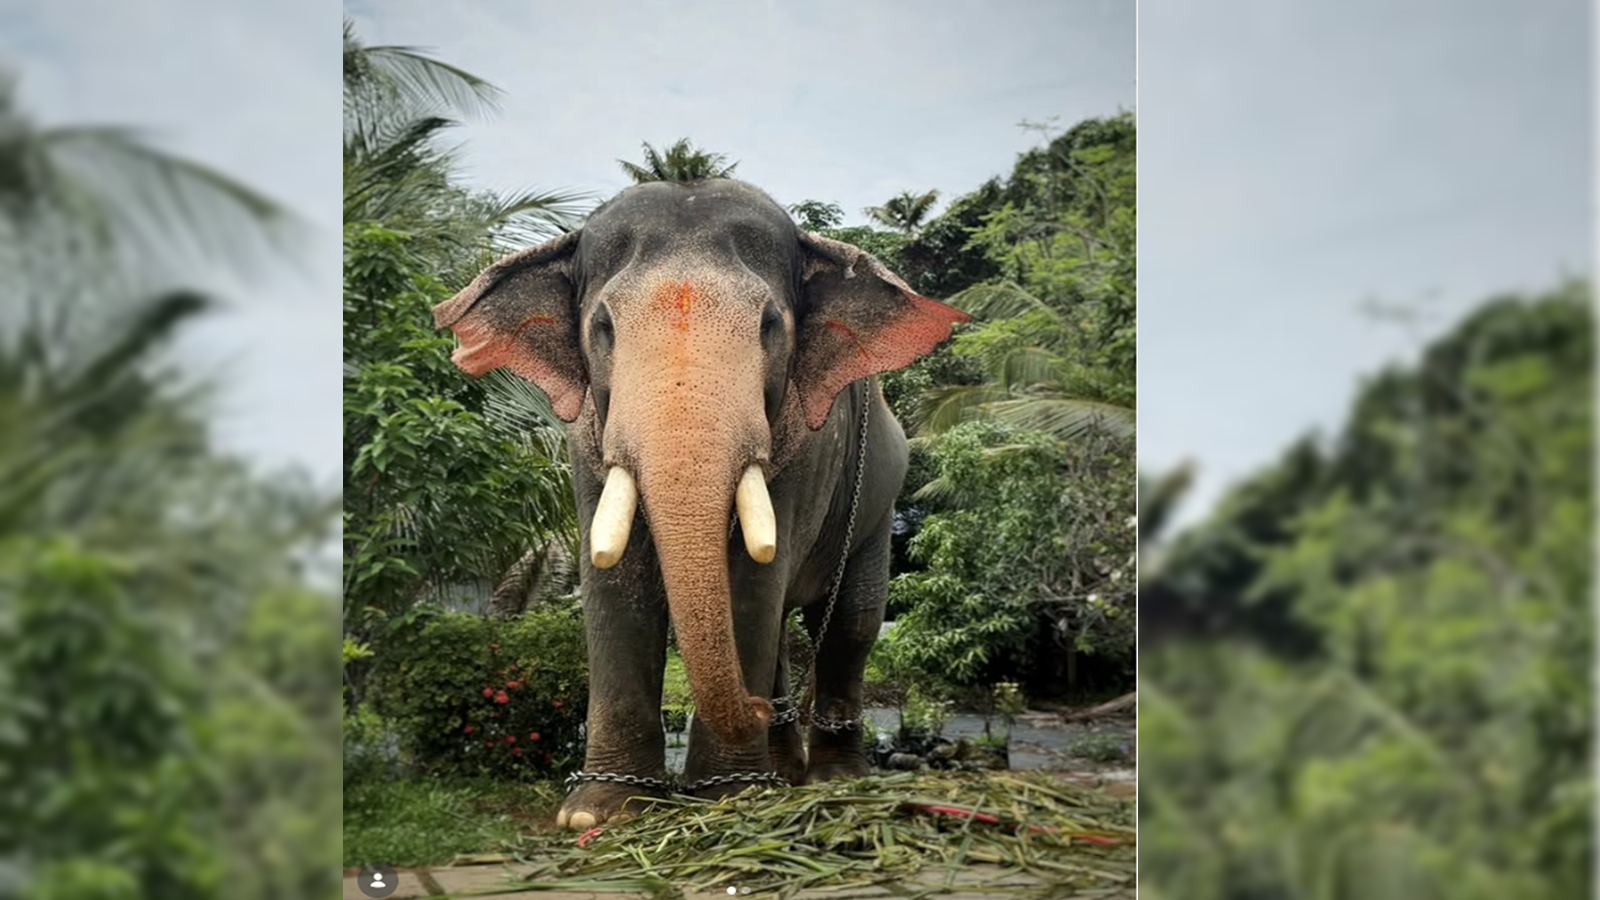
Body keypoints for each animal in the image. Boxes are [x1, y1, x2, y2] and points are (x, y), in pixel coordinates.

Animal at [433, 179, 967, 830]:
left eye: (770, 325)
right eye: (603, 327)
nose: (754, 707)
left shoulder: (801, 450)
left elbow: (751, 582)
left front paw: (729, 799)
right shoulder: (586, 441)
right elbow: (613, 585)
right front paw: (598, 814)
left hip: (875, 507)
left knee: (850, 622)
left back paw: (835, 780)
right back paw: (783, 768)